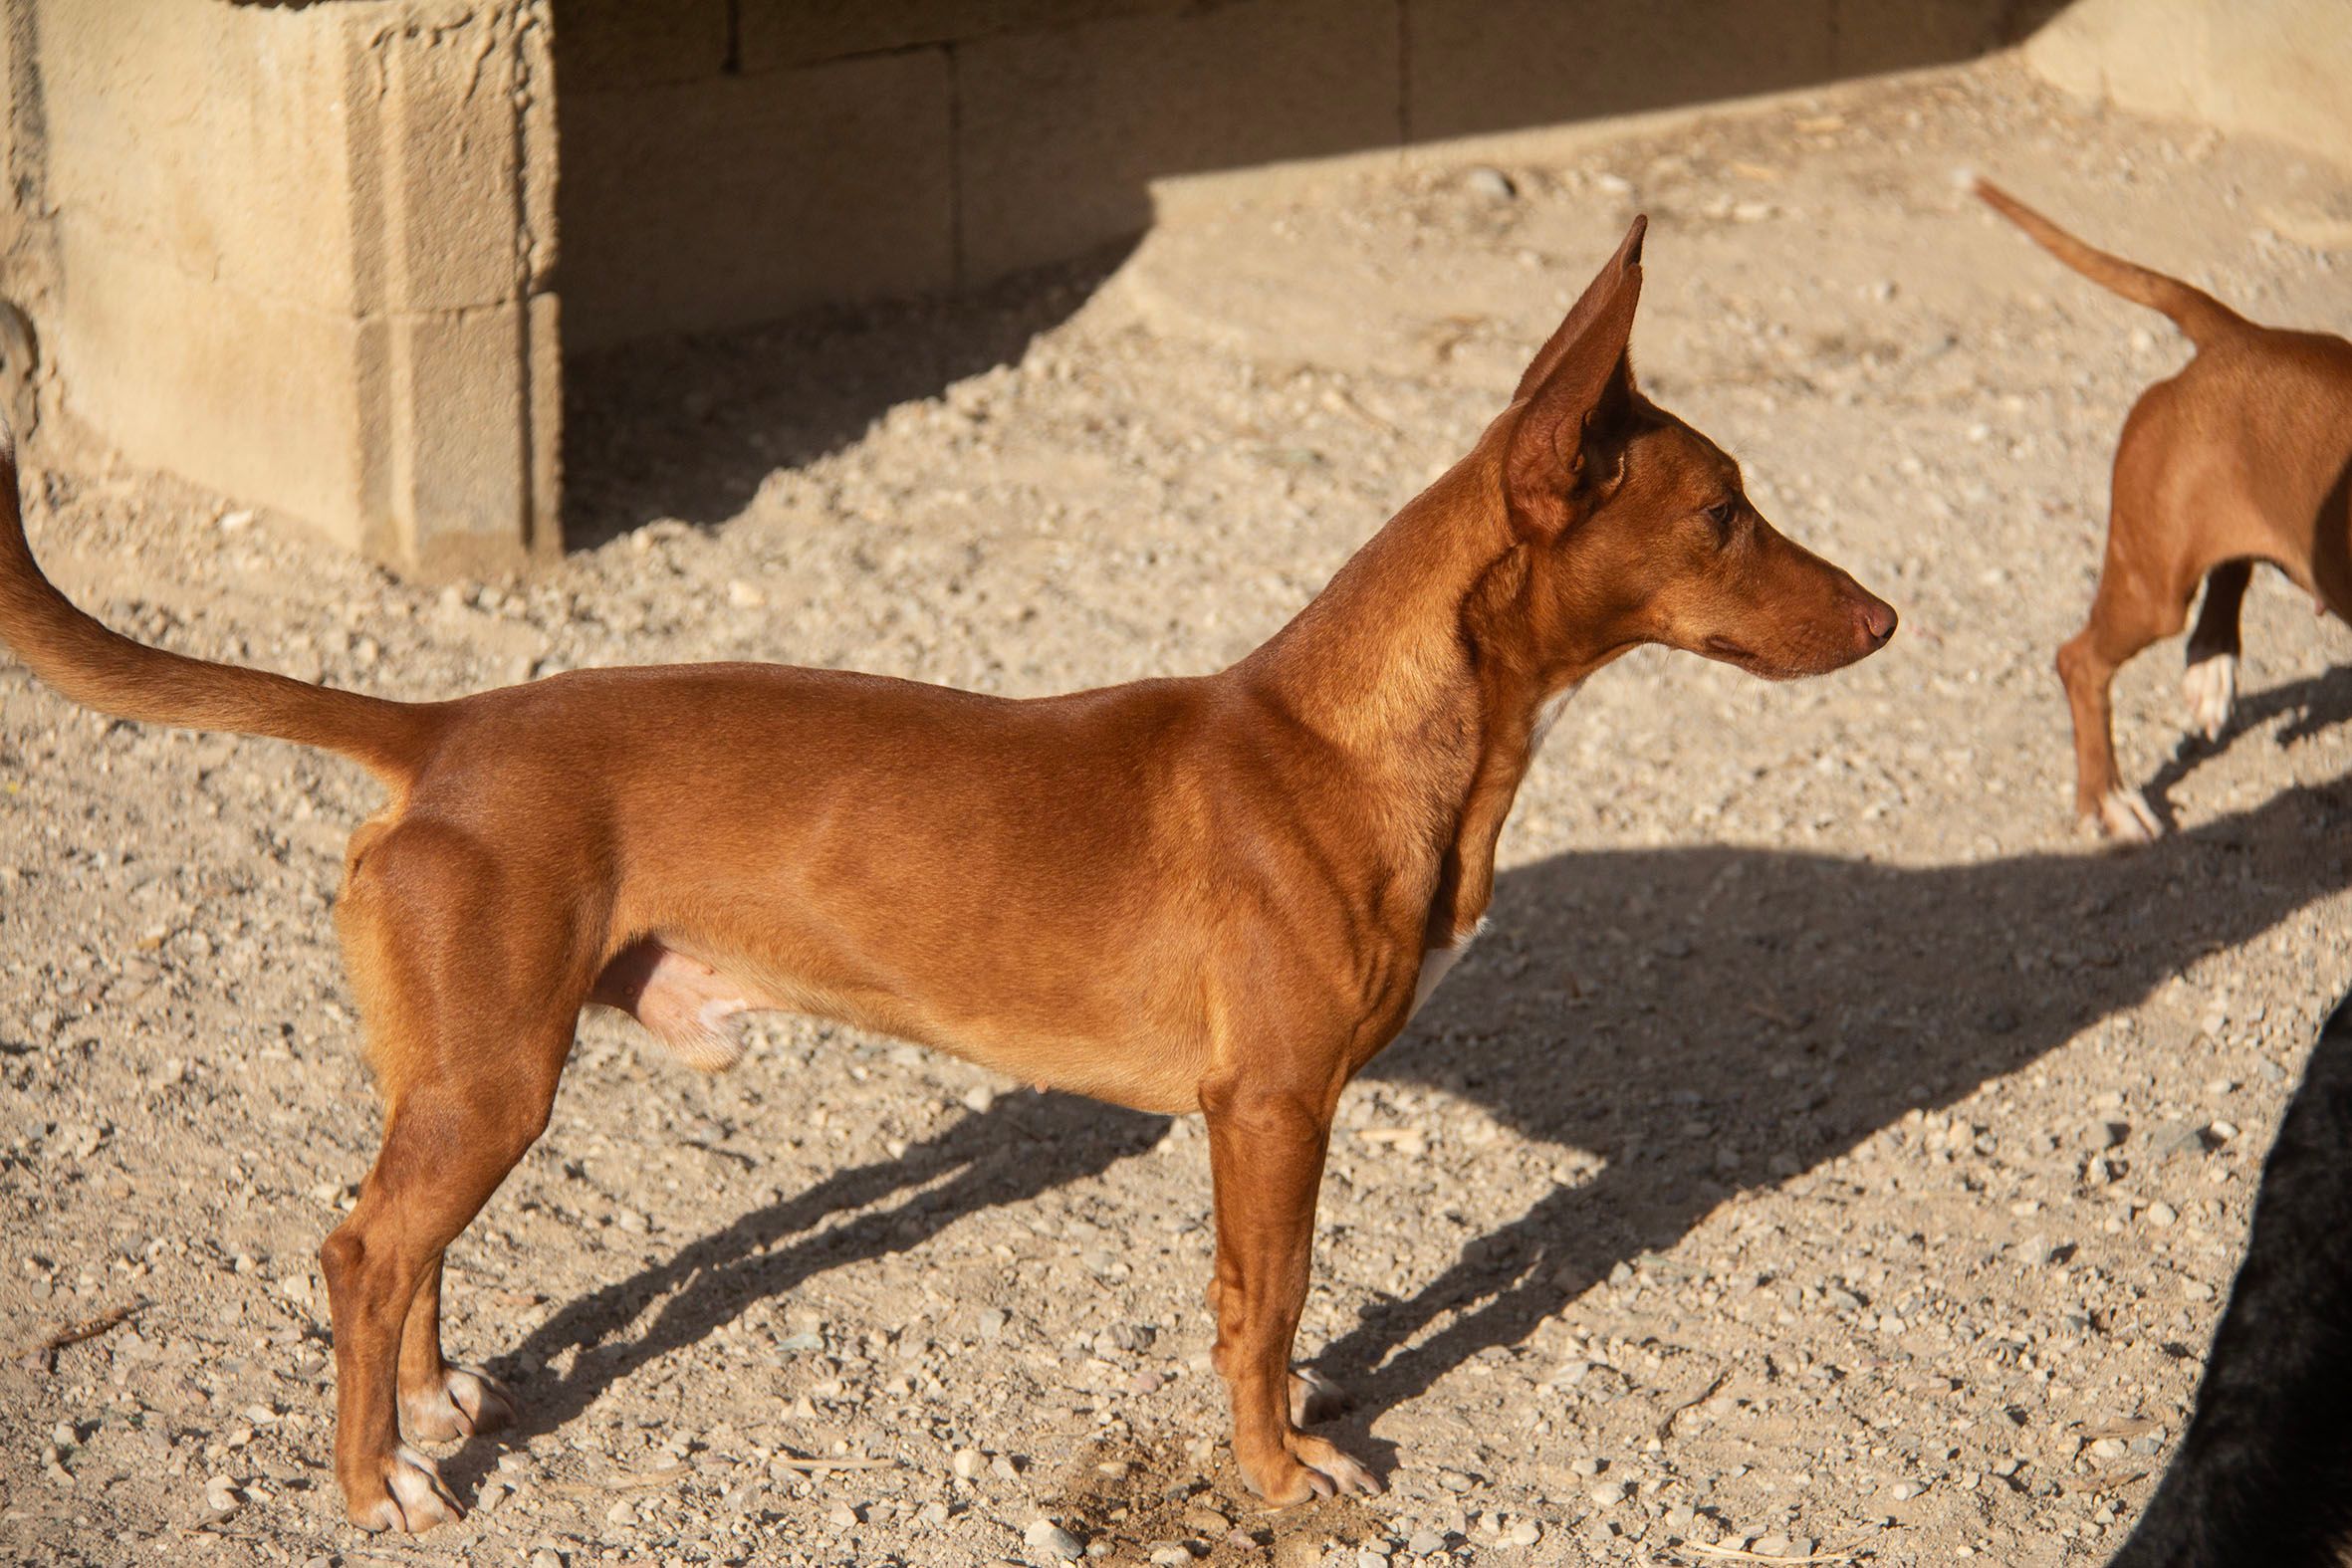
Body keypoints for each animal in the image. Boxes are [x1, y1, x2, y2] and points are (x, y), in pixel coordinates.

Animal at [0, 216, 1895, 1533]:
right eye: (1724, 516)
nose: (1887, 617)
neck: (1352, 738)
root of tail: (448, 725)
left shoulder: (1271, 1115)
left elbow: (1267, 1305)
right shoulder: (1272, 1110)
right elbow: (1265, 1309)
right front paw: (1280, 1470)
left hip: (461, 1076)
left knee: (406, 1254)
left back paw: (438, 1402)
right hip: (495, 1079)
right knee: (356, 1250)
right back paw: (374, 1481)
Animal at [1975, 179, 2352, 841]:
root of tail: (2241, 336)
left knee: (2234, 565)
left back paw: (2210, 667)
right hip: (2151, 585)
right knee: (2080, 661)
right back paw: (2109, 797)